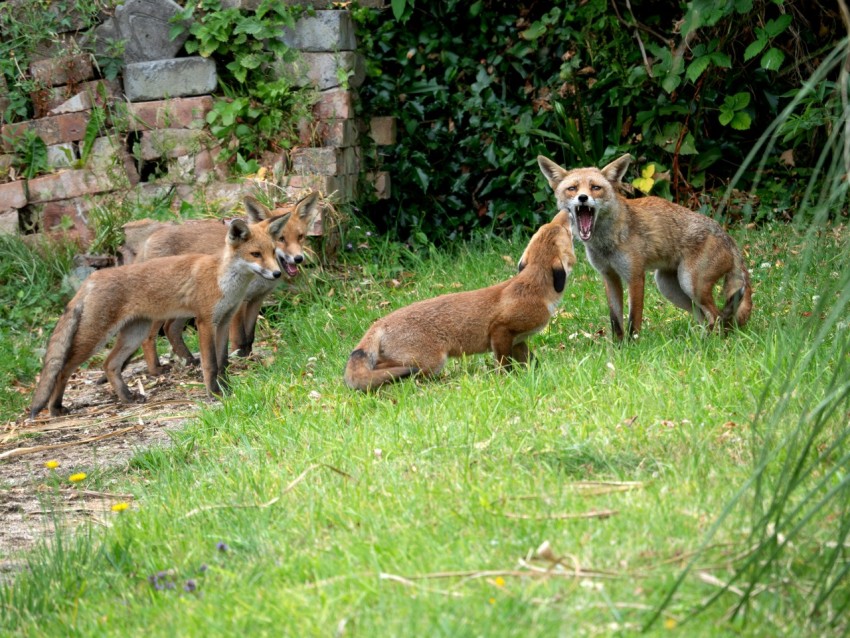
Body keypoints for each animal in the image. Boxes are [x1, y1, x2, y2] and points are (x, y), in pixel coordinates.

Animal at [29, 218, 284, 422]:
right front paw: (214, 393)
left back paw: (127, 398)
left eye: (273, 252)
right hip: (95, 338)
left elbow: (222, 362)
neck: (224, 281)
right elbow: (210, 363)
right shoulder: (205, 322)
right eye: (255, 254)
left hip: (134, 334)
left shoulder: (223, 322)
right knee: (63, 369)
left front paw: (226, 387)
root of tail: (92, 278)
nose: (277, 274)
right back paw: (55, 408)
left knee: (110, 364)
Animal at [344, 212, 576, 392]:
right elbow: (503, 364)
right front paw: (507, 378)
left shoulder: (518, 340)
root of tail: (380, 323)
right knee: (383, 370)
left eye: (551, 226)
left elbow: (532, 362)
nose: (567, 211)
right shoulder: (500, 330)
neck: (535, 290)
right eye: (566, 231)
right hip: (430, 361)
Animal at [532, 154, 752, 340]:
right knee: (706, 318)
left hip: (691, 283)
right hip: (670, 286)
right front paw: (618, 347)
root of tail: (727, 236)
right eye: (572, 189)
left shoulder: (635, 275)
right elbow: (616, 320)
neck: (606, 242)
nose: (583, 198)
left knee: (717, 316)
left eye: (595, 187)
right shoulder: (609, 276)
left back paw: (714, 342)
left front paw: (633, 346)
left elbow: (633, 320)